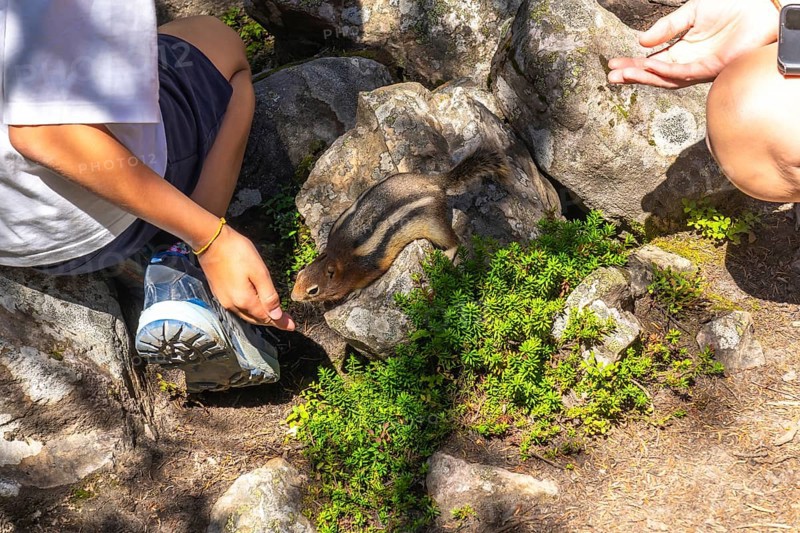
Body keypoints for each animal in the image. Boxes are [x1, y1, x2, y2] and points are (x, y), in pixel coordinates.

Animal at [291, 147, 511, 303]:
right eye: (299, 275)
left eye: (313, 290)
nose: (293, 297)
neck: (339, 256)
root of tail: (434, 182)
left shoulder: (372, 265)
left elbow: (367, 280)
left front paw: (355, 292)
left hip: (434, 225)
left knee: (454, 240)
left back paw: (447, 255)